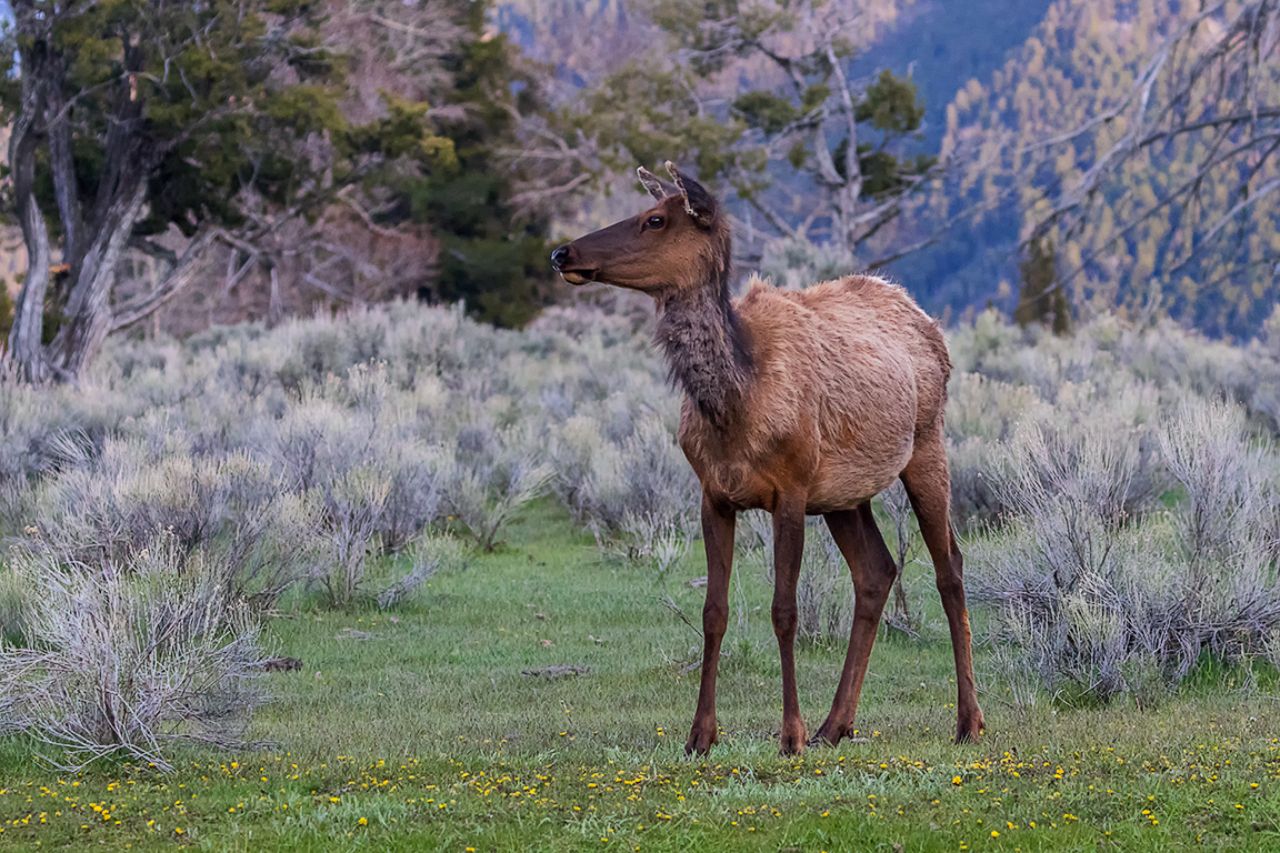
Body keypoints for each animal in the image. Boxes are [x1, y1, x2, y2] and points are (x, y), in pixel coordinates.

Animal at [550, 163, 984, 756]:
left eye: (655, 219)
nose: (563, 252)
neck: (736, 404)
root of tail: (925, 318)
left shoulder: (792, 489)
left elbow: (785, 610)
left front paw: (790, 734)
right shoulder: (713, 494)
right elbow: (714, 611)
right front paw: (701, 735)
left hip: (926, 443)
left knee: (950, 568)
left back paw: (968, 722)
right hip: (844, 494)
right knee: (877, 571)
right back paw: (836, 724)